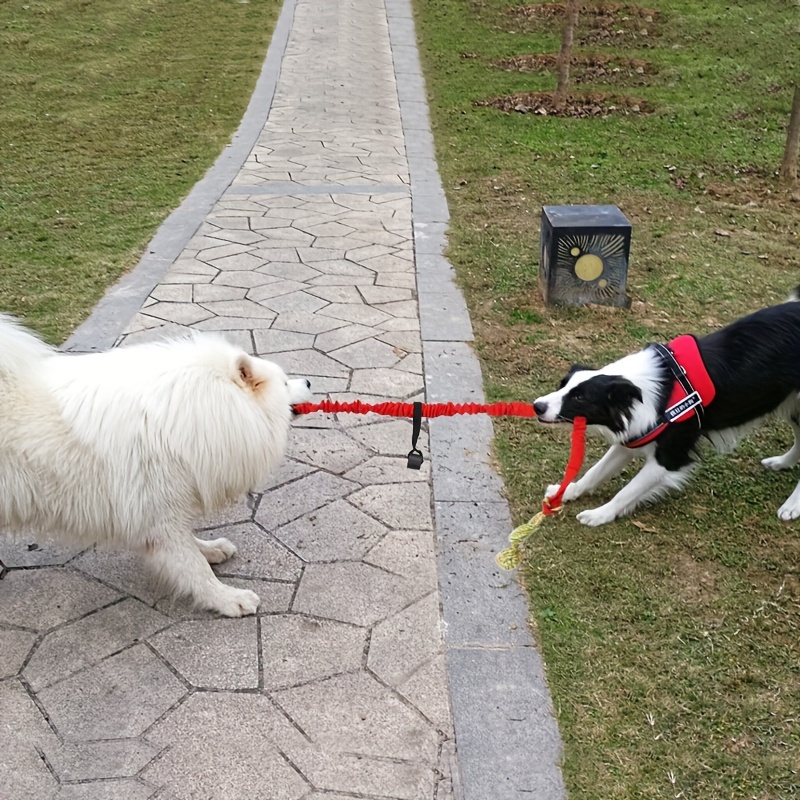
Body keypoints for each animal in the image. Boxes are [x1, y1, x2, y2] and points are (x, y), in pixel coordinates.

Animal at [0, 316, 310, 616]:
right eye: (284, 383)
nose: (308, 382)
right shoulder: (159, 516)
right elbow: (194, 567)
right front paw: (228, 599)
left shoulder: (165, 510)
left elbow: (191, 547)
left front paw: (211, 550)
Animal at [532, 290, 800, 528]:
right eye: (562, 385)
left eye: (579, 397)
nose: (537, 406)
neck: (652, 390)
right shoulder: (634, 435)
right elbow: (595, 472)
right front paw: (568, 491)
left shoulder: (670, 457)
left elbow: (627, 491)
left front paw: (600, 514)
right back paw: (782, 462)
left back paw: (792, 505)